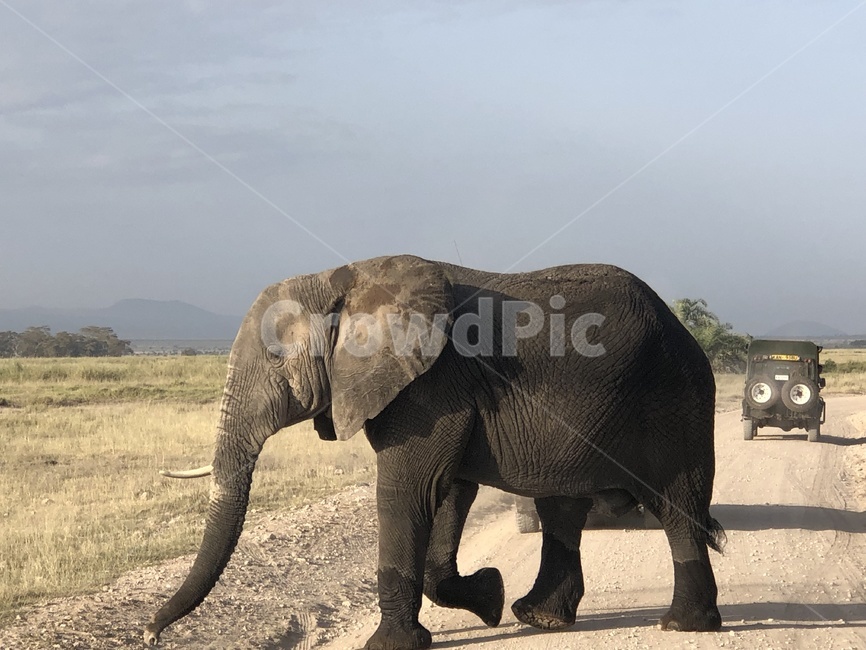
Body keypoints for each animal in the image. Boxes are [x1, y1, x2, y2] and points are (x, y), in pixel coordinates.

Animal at [144, 254, 725, 649]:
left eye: (274, 361)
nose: (150, 633)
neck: (343, 280)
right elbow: (448, 491)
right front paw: (489, 600)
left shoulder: (430, 387)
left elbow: (411, 491)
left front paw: (392, 646)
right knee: (562, 509)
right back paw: (538, 618)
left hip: (678, 402)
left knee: (677, 507)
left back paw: (681, 625)